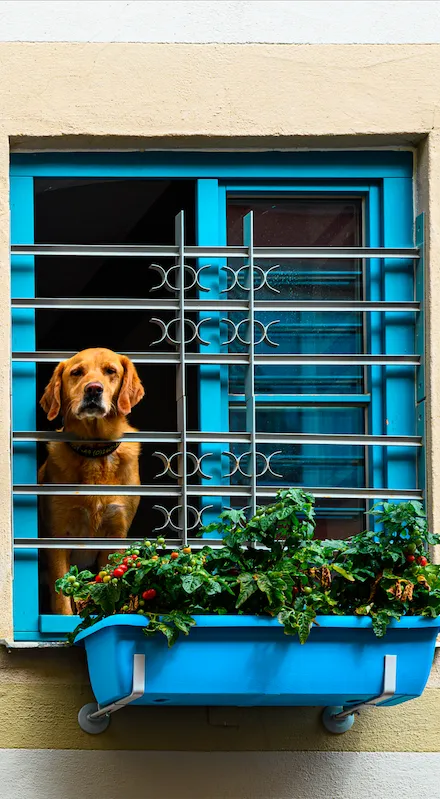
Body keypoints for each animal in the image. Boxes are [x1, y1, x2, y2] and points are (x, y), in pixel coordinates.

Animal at [37, 346, 144, 616]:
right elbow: (62, 599)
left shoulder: (116, 533)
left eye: (110, 371)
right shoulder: (57, 536)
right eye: (77, 372)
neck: (94, 454)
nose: (94, 389)